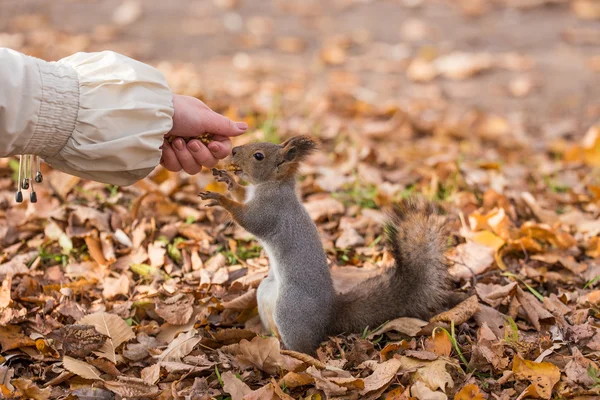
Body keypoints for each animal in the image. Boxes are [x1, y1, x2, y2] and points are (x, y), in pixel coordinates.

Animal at [198, 136, 454, 354]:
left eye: (258, 156)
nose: (233, 150)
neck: (272, 185)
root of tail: (329, 314)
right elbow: (241, 194)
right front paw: (228, 181)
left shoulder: (271, 210)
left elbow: (249, 219)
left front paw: (220, 199)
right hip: (265, 292)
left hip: (290, 310)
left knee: (304, 347)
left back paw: (290, 356)